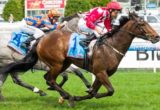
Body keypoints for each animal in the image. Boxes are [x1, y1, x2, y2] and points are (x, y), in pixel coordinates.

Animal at [0, 12, 159, 106]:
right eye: (142, 24)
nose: (156, 36)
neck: (111, 46)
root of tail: (41, 39)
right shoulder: (100, 72)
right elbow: (110, 90)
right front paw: (75, 97)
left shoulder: (101, 74)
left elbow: (93, 93)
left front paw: (84, 94)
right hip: (56, 64)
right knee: (49, 79)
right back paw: (65, 96)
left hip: (63, 63)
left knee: (43, 78)